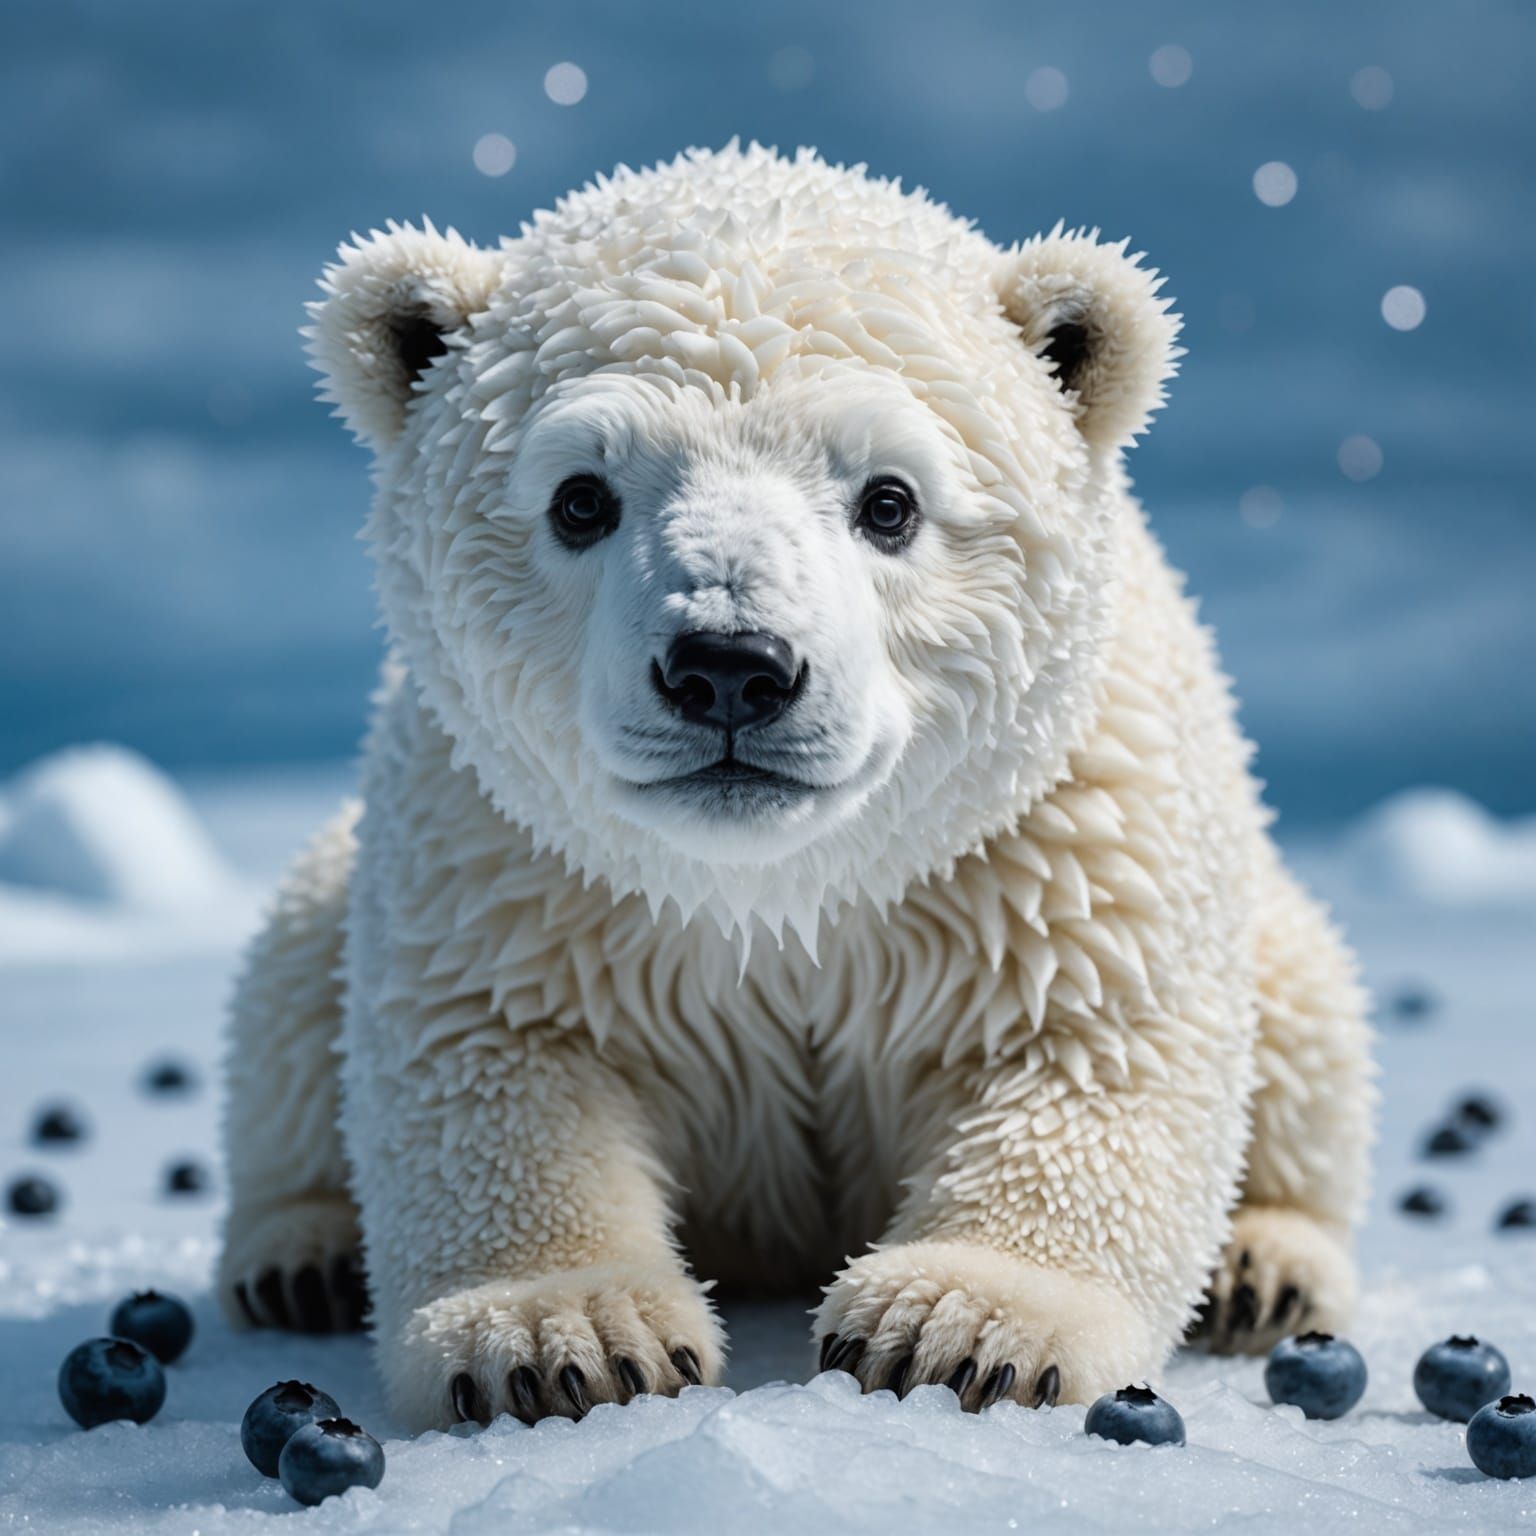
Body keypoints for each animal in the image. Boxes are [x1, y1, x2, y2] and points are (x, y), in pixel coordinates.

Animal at [218, 143, 1374, 1429]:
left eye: (891, 500)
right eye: (581, 496)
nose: (730, 667)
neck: (784, 882)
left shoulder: (1054, 842)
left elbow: (1090, 1048)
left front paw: (959, 1327)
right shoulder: (514, 859)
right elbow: (497, 1057)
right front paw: (564, 1335)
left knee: (1308, 1021)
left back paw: (1265, 1267)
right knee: (288, 1000)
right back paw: (304, 1255)